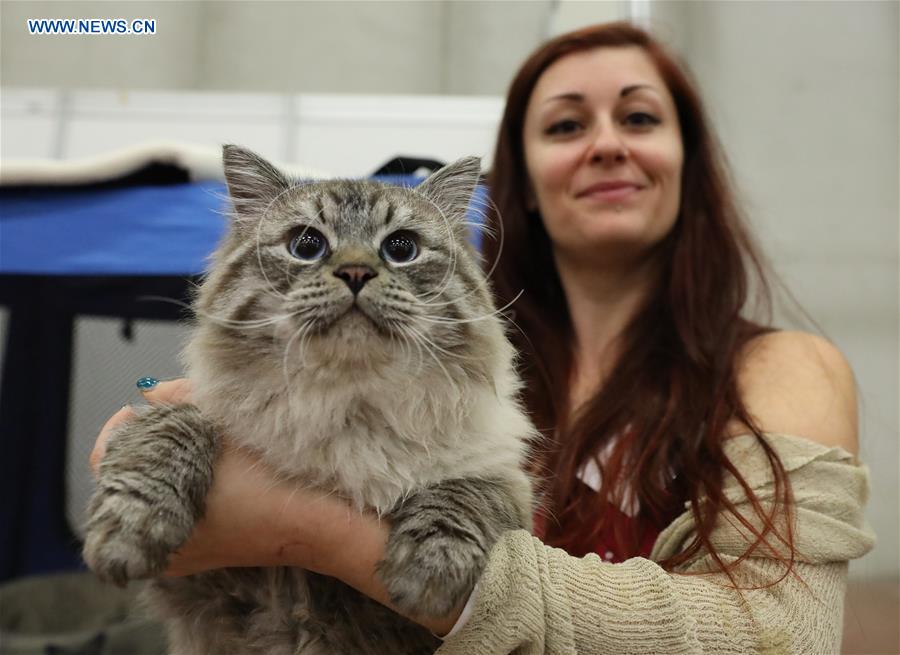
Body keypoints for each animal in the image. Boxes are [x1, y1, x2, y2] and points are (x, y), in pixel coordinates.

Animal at [82, 147, 536, 655]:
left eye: (401, 248)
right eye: (307, 245)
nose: (356, 272)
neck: (348, 403)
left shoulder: (508, 486)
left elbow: (463, 495)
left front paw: (428, 574)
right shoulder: (198, 580)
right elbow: (175, 430)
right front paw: (127, 533)